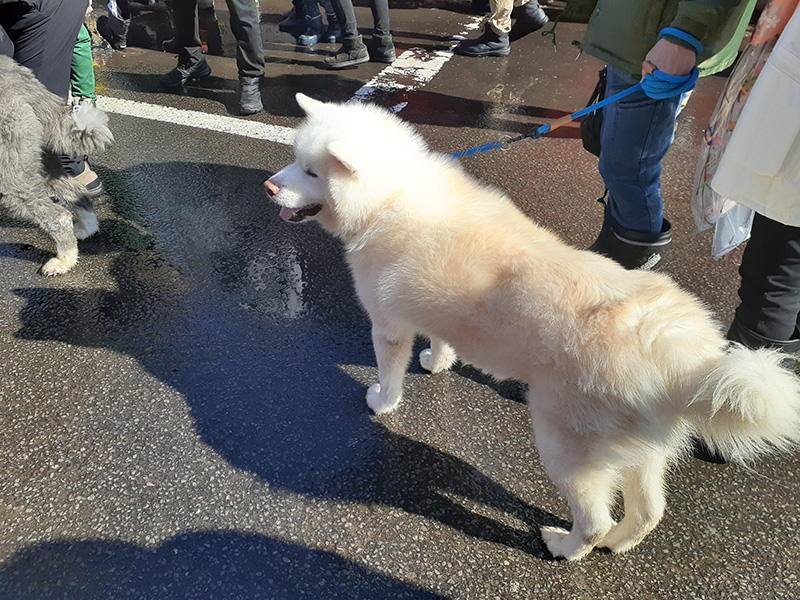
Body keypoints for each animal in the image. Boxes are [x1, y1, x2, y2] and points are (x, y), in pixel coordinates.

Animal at [0, 55, 113, 275]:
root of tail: (21, 80)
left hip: (11, 173)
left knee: (58, 216)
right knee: (76, 191)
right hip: (41, 162)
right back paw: (87, 229)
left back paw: (64, 261)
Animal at [265, 93, 800, 561]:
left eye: (312, 172)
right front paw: (438, 362)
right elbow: (441, 338)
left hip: (565, 447)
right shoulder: (433, 309)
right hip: (639, 452)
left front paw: (382, 401)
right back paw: (618, 544)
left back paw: (567, 547)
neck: (389, 197)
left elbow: (390, 375)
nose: (269, 186)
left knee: (595, 519)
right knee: (648, 513)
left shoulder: (387, 325)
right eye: (294, 158)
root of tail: (681, 356)